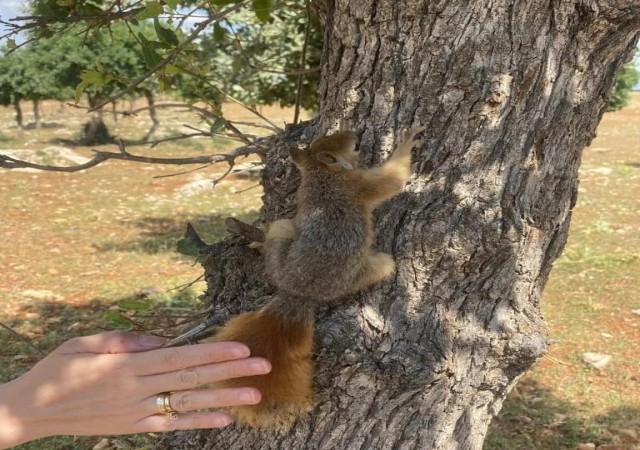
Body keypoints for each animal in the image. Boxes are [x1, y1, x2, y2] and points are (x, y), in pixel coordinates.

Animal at [211, 127, 424, 428]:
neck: (319, 173)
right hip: (369, 268)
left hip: (282, 240)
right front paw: (406, 142)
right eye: (354, 146)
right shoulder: (359, 184)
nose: (355, 133)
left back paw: (261, 241)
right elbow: (392, 180)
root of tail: (299, 292)